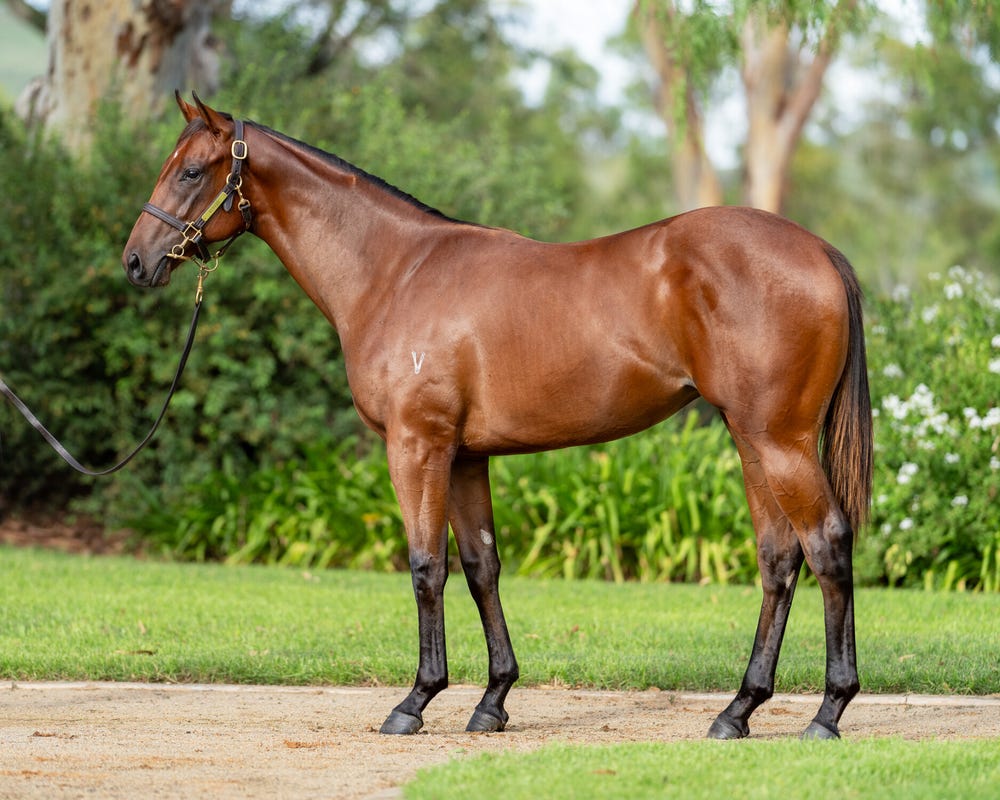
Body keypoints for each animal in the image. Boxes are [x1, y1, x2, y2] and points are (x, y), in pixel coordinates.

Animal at [123, 93, 872, 740]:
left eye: (191, 170)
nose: (136, 261)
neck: (396, 271)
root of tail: (819, 251)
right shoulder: (464, 456)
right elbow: (482, 566)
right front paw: (492, 701)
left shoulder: (416, 446)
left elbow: (426, 566)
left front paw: (416, 701)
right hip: (750, 439)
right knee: (779, 559)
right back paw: (737, 711)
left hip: (779, 441)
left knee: (828, 545)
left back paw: (827, 712)